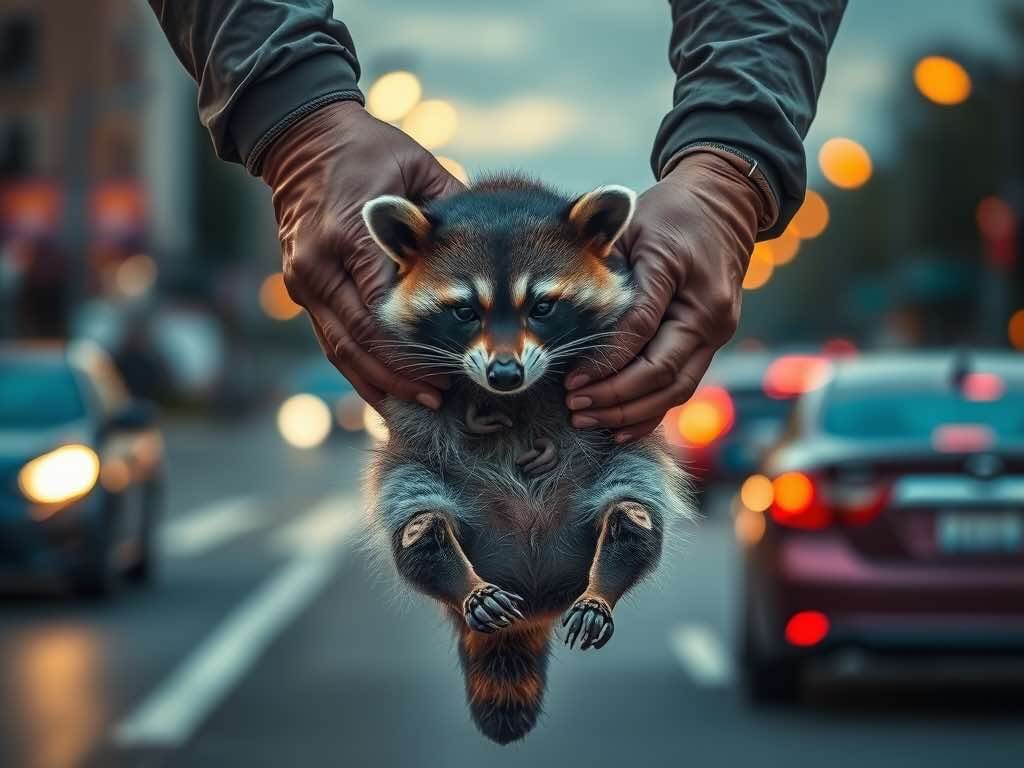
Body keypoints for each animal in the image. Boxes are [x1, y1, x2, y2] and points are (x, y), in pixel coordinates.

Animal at [362, 176, 691, 745]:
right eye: (464, 311)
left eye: (541, 307)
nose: (505, 374)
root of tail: (532, 601)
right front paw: (479, 413)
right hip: (417, 469)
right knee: (418, 525)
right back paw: (464, 580)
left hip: (621, 465)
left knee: (634, 512)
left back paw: (605, 580)